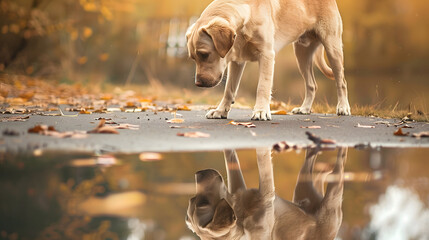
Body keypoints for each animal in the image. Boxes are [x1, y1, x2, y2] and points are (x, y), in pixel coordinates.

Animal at [186, 0, 350, 120]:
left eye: (204, 54)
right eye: (193, 58)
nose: (197, 83)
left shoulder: (266, 55)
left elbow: (262, 87)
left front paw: (260, 111)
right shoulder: (237, 61)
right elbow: (229, 90)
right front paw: (221, 111)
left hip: (332, 46)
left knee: (341, 81)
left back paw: (343, 107)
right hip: (301, 53)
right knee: (312, 85)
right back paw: (305, 108)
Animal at [186, 147, 346, 239]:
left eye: (193, 200)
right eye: (203, 203)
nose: (198, 174)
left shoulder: (238, 188)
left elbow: (230, 158)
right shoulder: (267, 192)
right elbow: (263, 158)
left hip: (303, 186)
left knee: (315, 164)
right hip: (332, 195)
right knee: (338, 162)